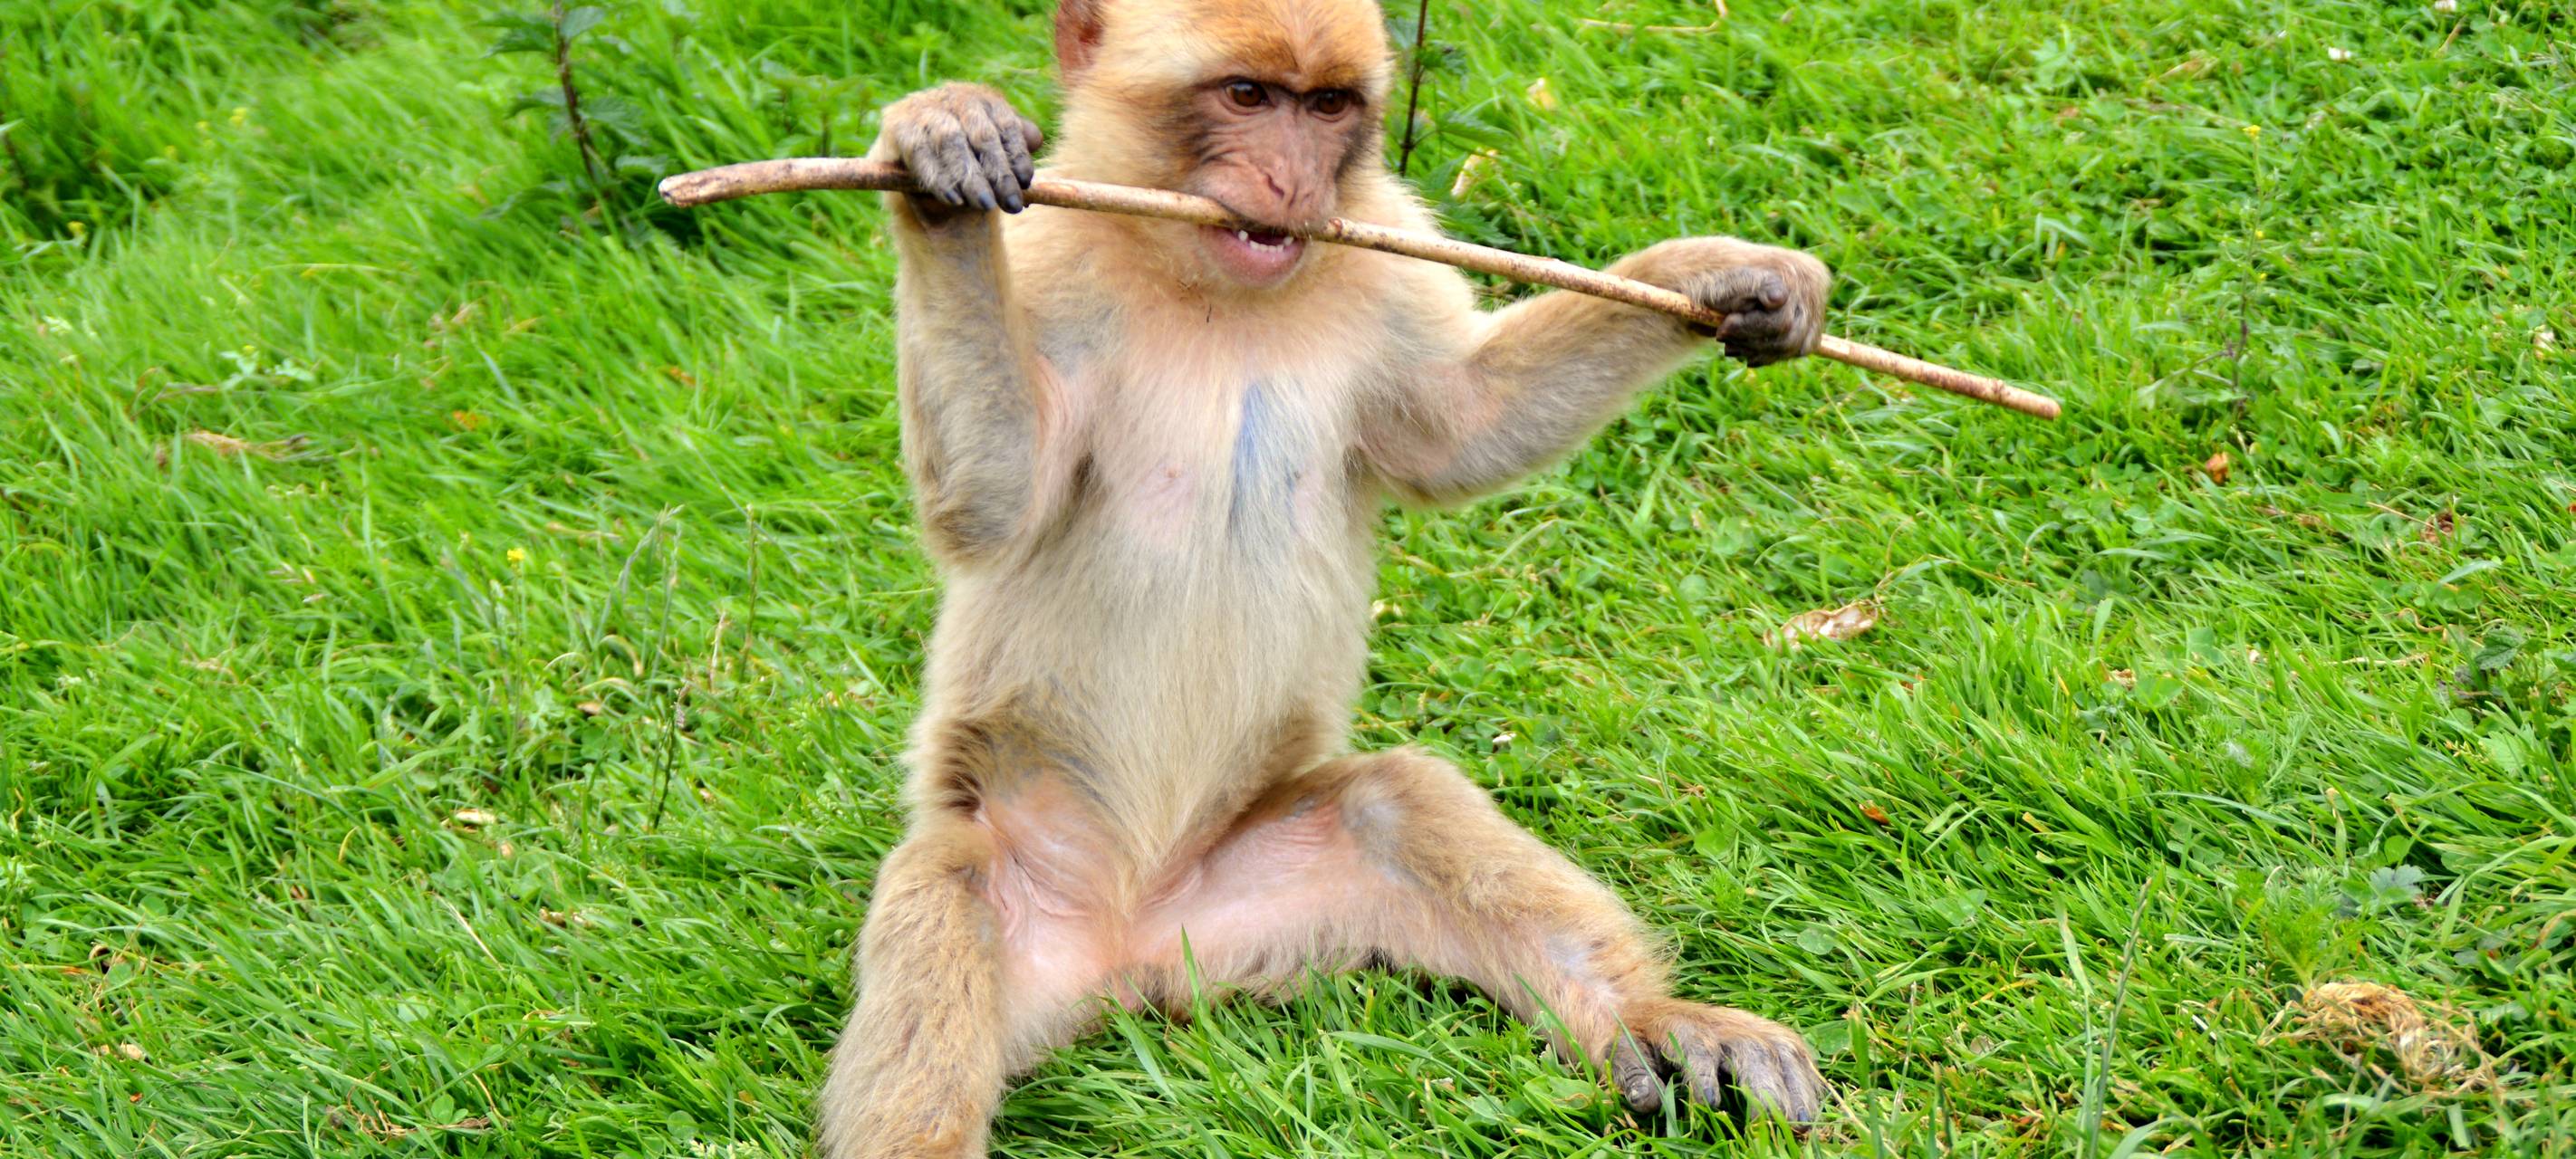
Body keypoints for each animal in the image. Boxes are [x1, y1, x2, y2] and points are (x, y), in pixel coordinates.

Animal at [817, 1, 1832, 1155]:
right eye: (1247, 96)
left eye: (1329, 107)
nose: (1292, 181)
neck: (1210, 286)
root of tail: (1126, 945)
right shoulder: (1055, 261)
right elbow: (993, 500)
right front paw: (941, 167)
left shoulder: (1381, 252)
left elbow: (1466, 430)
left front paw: (1720, 278)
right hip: (1013, 884)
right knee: (941, 890)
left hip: (1261, 890)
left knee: (1393, 805)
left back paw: (1650, 1016)